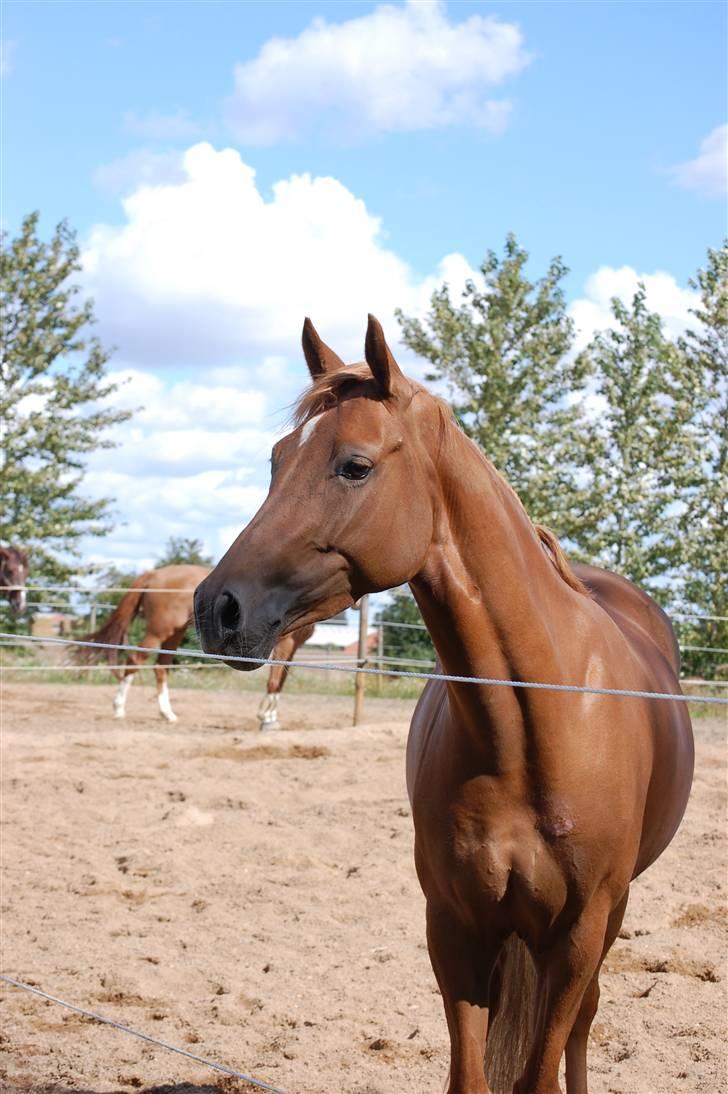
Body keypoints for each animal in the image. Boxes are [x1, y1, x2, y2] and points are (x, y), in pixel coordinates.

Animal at [83, 564, 313, 726]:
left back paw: (168, 713)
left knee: (161, 666)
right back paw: (119, 708)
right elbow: (274, 681)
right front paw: (265, 717)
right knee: (135, 659)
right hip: (159, 632)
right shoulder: (285, 644)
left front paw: (271, 716)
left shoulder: (292, 647)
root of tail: (154, 574)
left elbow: (281, 680)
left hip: (174, 633)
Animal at [192, 317, 691, 1094]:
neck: (529, 730)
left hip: (607, 920)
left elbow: (544, 1067)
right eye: (276, 462)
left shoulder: (578, 933)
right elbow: (471, 1075)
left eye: (354, 466)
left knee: (585, 1023)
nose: (218, 609)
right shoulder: (455, 926)